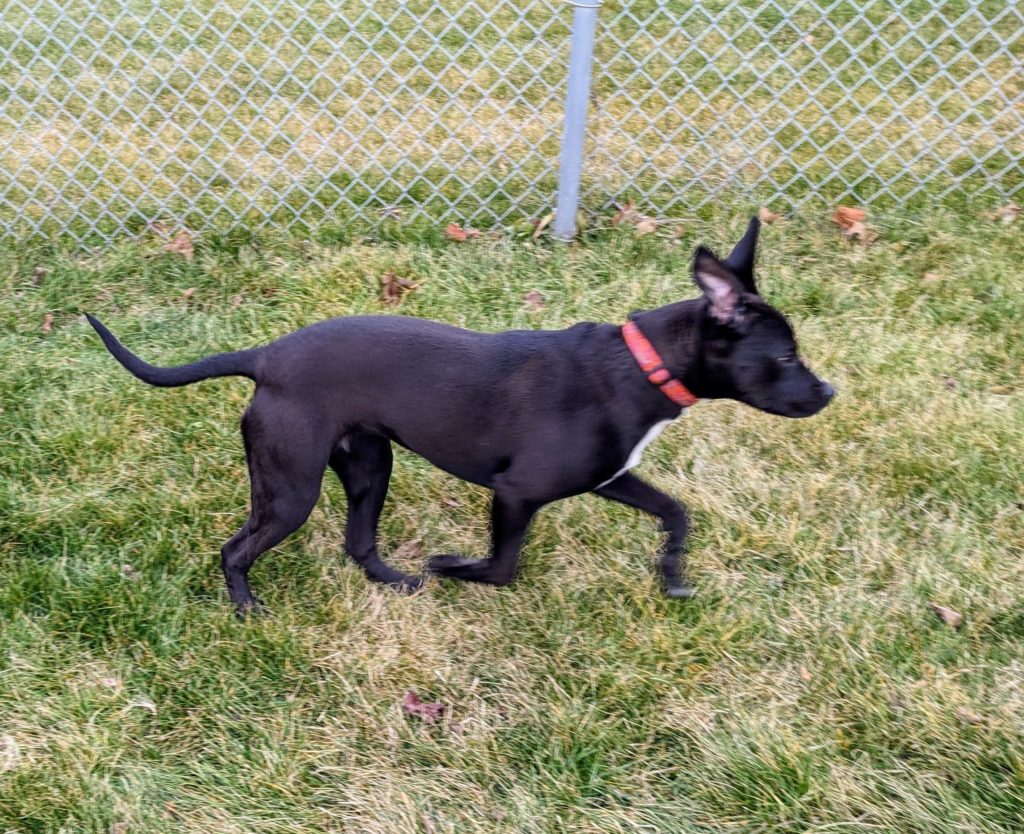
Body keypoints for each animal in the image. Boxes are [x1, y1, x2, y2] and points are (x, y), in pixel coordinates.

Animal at [88, 219, 831, 618]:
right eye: (785, 355)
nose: (827, 393)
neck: (642, 363)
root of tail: (266, 356)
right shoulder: (518, 492)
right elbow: (502, 567)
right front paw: (454, 566)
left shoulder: (612, 476)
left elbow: (677, 513)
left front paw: (672, 574)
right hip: (291, 487)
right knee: (235, 550)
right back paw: (247, 609)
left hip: (369, 465)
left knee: (358, 543)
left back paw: (398, 582)